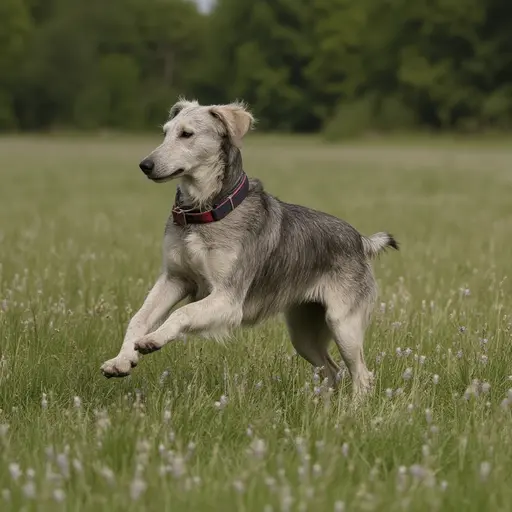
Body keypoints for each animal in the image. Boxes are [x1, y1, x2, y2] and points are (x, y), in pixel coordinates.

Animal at [99, 99, 396, 396]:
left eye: (186, 134)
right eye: (165, 133)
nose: (145, 165)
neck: (206, 212)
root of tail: (360, 241)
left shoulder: (228, 299)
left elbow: (182, 312)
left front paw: (154, 339)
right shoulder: (175, 279)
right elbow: (138, 318)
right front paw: (122, 360)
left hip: (343, 325)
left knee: (362, 376)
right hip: (304, 333)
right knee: (332, 371)